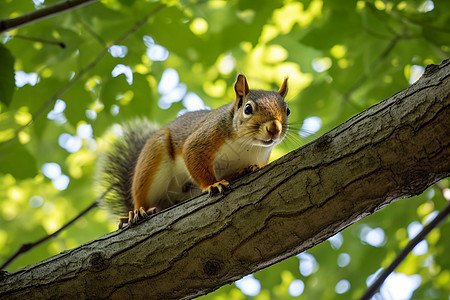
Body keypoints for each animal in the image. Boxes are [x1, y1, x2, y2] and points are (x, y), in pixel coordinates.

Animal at [96, 74, 290, 227]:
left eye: (287, 110)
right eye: (248, 109)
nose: (274, 129)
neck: (248, 145)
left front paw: (248, 169)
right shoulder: (205, 137)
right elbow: (193, 156)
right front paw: (213, 184)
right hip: (151, 159)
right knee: (140, 194)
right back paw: (137, 211)